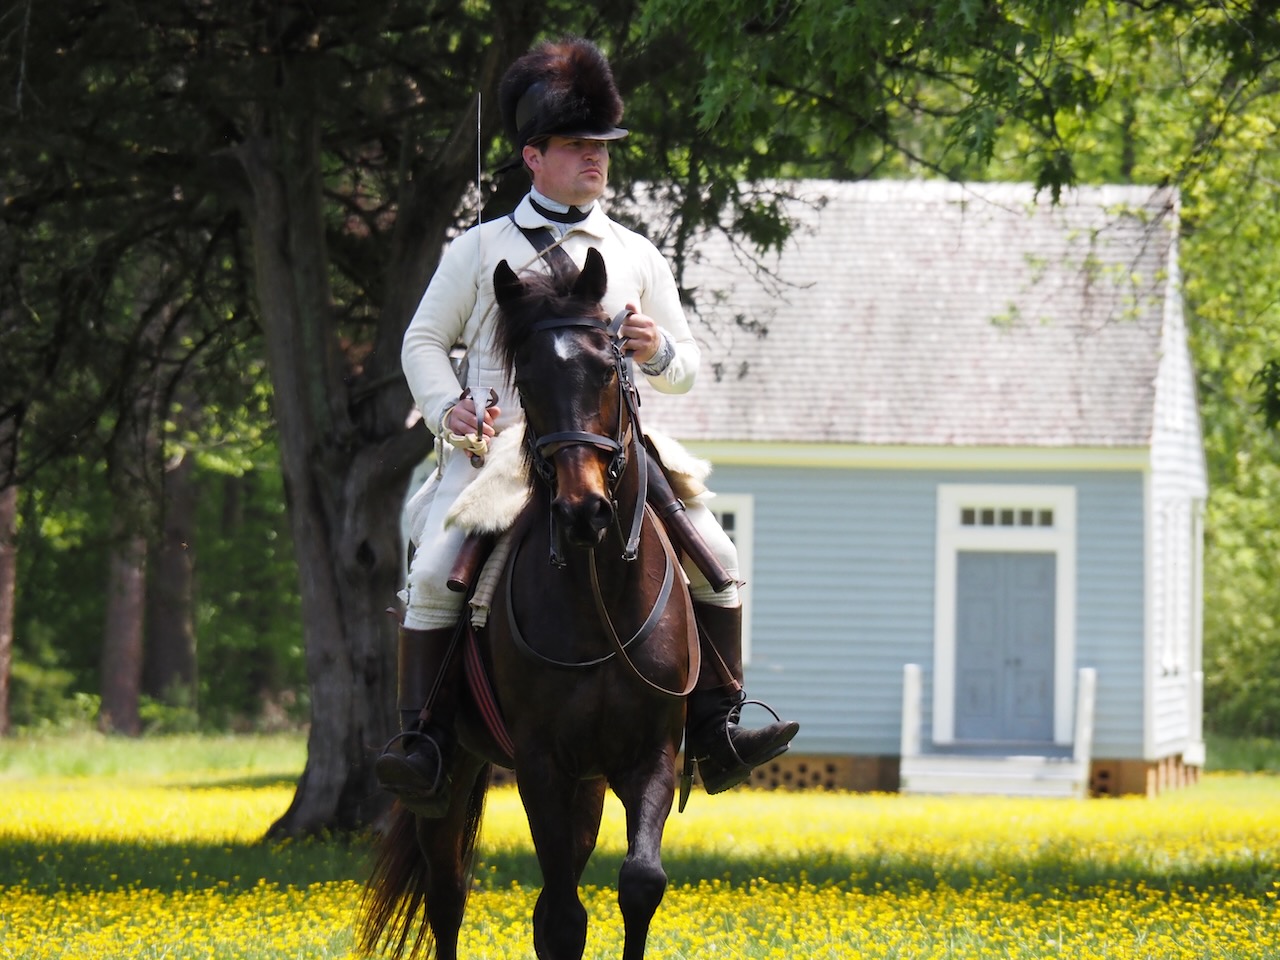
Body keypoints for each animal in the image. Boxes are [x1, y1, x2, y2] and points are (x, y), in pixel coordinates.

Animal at [359, 247, 699, 960]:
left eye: (608, 368)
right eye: (530, 381)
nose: (583, 510)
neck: (600, 599)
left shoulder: (648, 756)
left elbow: (639, 882)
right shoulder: (542, 765)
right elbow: (562, 915)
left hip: (588, 783)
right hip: (453, 773)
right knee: (447, 894)